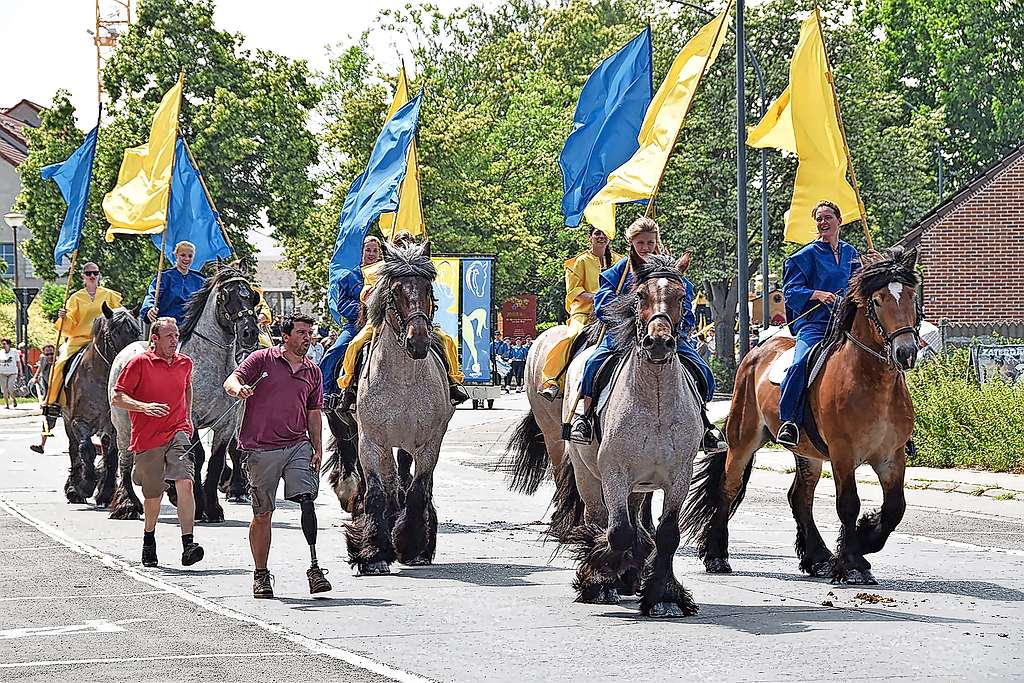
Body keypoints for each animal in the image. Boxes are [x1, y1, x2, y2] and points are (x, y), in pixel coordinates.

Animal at [59, 301, 141, 505]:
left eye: (137, 332)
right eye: (114, 333)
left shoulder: (114, 426)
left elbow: (111, 456)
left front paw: (105, 491)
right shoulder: (78, 421)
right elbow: (86, 449)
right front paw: (85, 485)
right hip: (67, 421)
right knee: (74, 449)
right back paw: (74, 488)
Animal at [344, 242, 456, 573]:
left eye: (428, 288)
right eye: (395, 291)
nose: (418, 341)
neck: (402, 381)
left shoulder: (429, 443)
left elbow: (417, 490)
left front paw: (412, 546)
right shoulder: (371, 442)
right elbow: (377, 492)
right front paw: (373, 555)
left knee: (410, 485)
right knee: (390, 484)